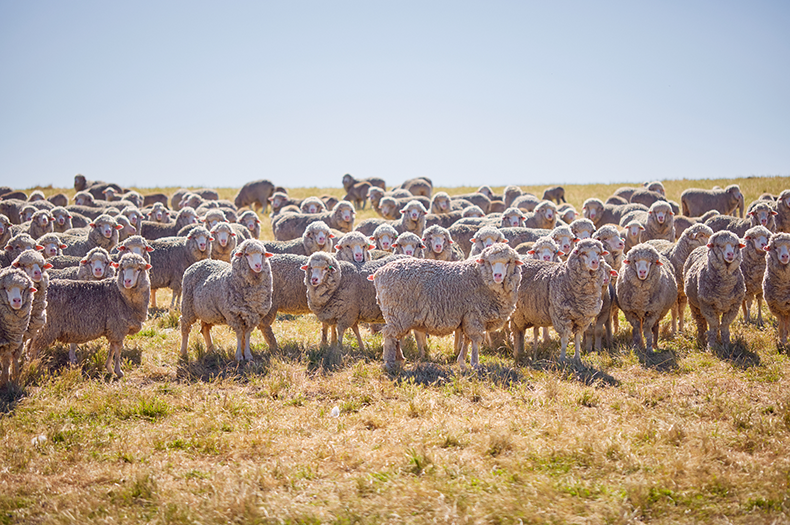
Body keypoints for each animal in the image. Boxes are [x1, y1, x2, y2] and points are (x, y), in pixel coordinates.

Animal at [372, 243, 524, 368]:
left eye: (508, 262)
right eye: (490, 262)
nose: (497, 275)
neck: (480, 277)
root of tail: (379, 273)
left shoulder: (467, 318)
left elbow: (466, 340)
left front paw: (462, 362)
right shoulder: (475, 316)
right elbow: (475, 340)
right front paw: (475, 364)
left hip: (397, 316)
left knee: (395, 336)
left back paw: (399, 359)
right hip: (397, 312)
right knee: (389, 335)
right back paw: (389, 363)